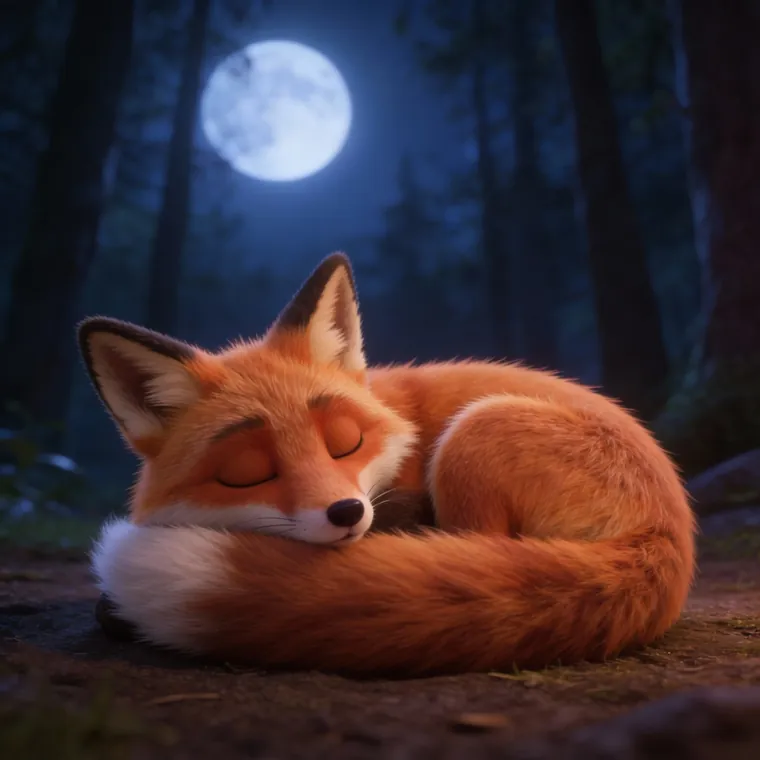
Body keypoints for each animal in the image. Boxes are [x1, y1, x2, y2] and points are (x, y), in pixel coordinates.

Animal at [81, 252, 696, 677]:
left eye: (344, 442)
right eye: (246, 472)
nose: (346, 512)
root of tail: (670, 532)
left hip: (475, 433)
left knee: (480, 543)